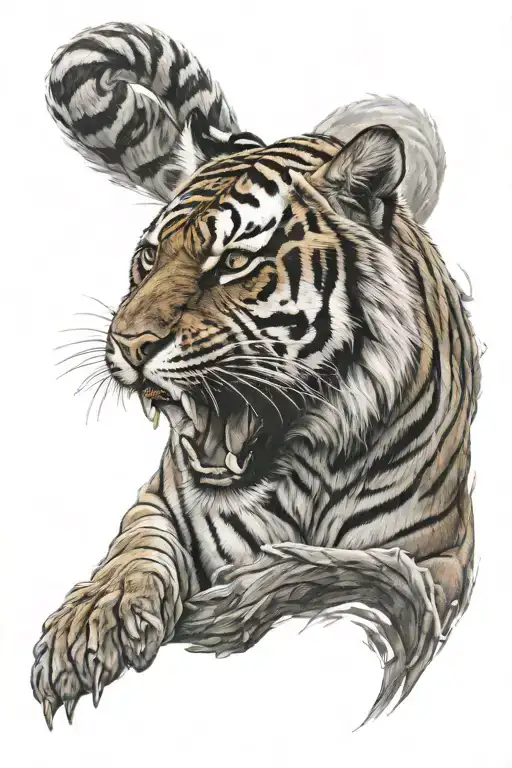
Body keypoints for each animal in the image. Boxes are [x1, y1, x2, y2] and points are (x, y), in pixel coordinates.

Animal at [32, 22, 481, 730]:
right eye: (149, 257)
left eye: (234, 263)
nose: (128, 344)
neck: (302, 472)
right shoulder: (159, 500)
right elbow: (133, 555)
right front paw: (89, 628)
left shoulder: (438, 560)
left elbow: (354, 571)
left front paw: (234, 603)